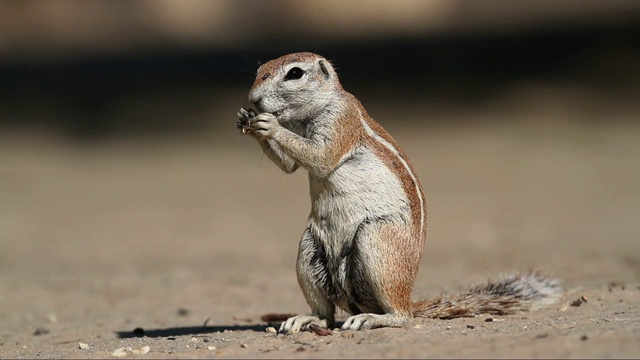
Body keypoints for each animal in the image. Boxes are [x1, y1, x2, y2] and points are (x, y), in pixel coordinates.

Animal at [236, 52, 560, 334]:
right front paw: (245, 119)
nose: (254, 99)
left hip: (378, 241)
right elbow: (291, 165)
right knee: (325, 315)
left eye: (294, 73)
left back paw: (372, 319)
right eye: (259, 69)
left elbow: (320, 156)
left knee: (401, 315)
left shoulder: (340, 122)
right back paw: (304, 319)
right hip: (309, 250)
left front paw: (269, 124)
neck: (312, 111)